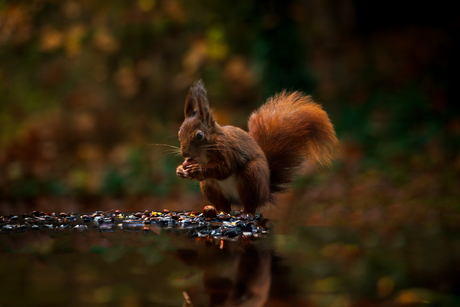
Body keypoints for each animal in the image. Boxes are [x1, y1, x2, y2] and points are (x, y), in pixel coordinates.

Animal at [176, 80, 338, 214]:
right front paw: (180, 169)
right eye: (179, 132)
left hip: (252, 176)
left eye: (199, 135)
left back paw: (246, 212)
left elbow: (224, 168)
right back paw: (218, 211)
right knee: (225, 207)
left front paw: (197, 169)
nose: (185, 153)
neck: (204, 154)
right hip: (209, 186)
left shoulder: (228, 150)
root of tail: (266, 193)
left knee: (251, 205)